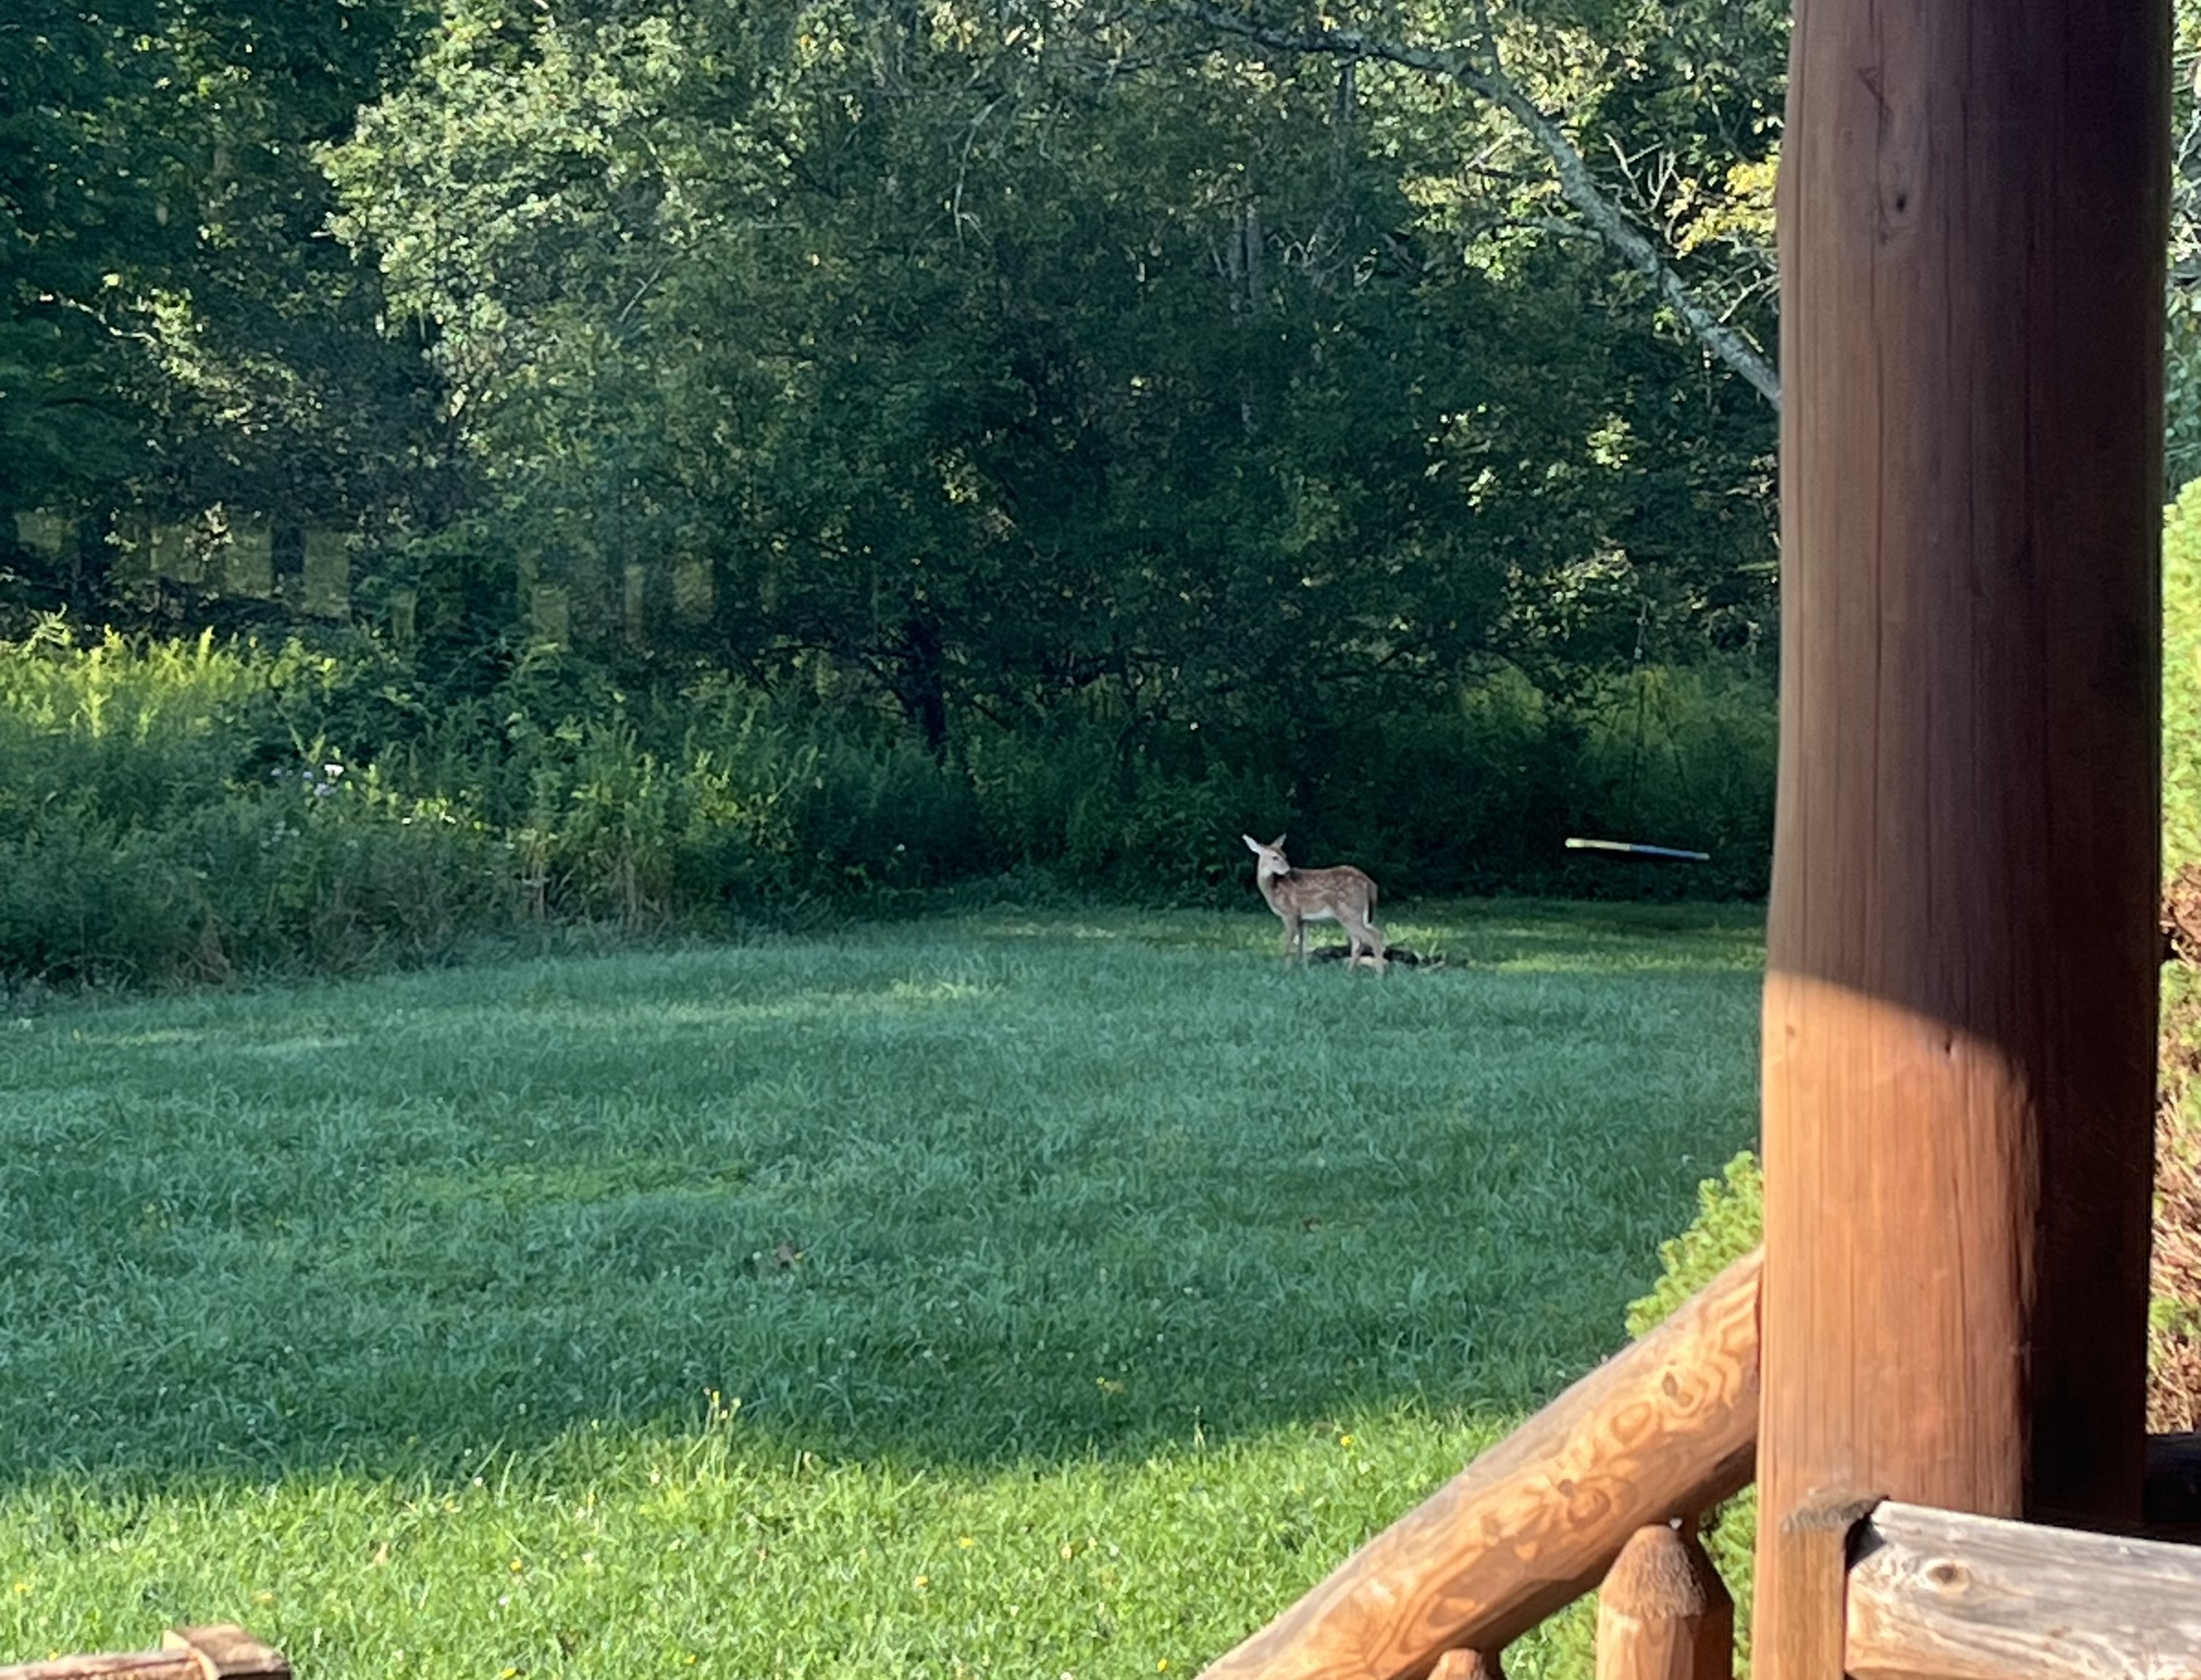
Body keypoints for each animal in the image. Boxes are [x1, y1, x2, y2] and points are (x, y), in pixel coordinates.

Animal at [1242, 834, 1388, 971]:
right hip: (1360, 915)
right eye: (1274, 857)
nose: (1288, 871)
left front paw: (1286, 971)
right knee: (1365, 941)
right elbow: (1303, 945)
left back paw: (1379, 975)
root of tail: (1371, 884)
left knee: (1372, 939)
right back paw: (1349, 972)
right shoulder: (1303, 919)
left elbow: (1288, 946)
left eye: (1284, 855)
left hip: (1349, 912)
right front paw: (1304, 969)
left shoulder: (1289, 913)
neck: (1272, 889)